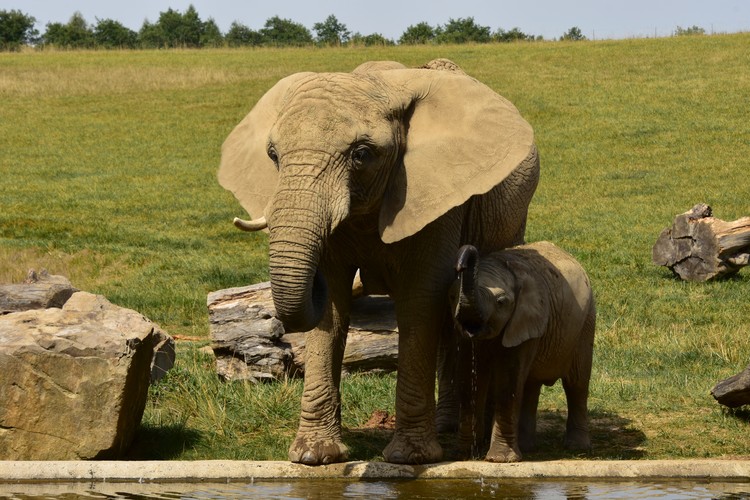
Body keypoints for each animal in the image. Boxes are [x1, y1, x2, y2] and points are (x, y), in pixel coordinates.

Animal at [217, 58, 540, 464]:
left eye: (361, 154)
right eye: (273, 156)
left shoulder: (436, 197)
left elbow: (420, 298)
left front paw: (410, 458)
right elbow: (333, 310)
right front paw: (314, 456)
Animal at [450, 240, 596, 462]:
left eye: (501, 302)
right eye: (453, 297)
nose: (460, 265)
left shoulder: (525, 320)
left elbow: (507, 381)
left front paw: (499, 460)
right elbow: (468, 377)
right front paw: (464, 455)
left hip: (585, 322)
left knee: (577, 383)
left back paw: (577, 448)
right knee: (530, 386)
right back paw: (527, 448)